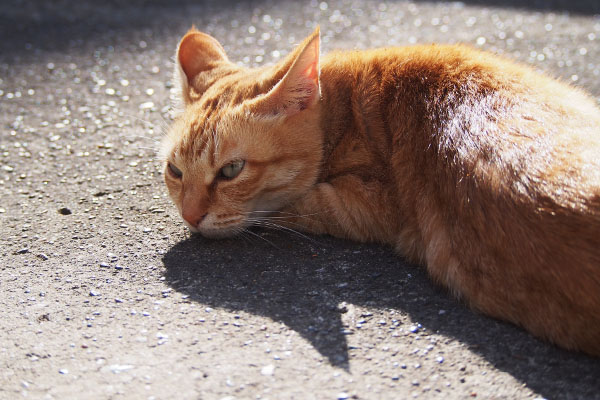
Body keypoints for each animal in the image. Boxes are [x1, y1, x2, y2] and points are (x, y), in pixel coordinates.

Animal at [161, 26, 600, 354]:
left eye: (231, 170)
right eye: (175, 171)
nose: (190, 216)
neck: (344, 111)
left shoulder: (360, 206)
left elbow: (286, 208)